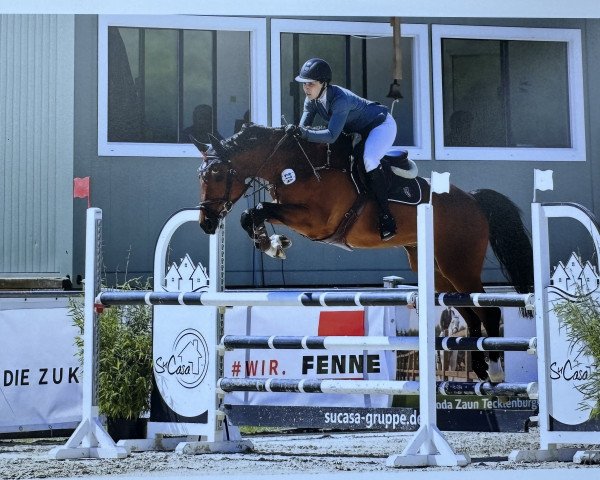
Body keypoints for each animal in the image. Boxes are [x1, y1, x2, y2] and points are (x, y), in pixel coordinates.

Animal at [193, 123, 536, 382]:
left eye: (217, 174)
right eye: (201, 176)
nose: (206, 223)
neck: (297, 165)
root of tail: (474, 200)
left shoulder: (315, 221)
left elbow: (257, 210)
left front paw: (272, 244)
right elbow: (251, 215)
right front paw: (272, 244)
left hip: (459, 266)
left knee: (488, 311)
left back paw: (494, 369)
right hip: (438, 270)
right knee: (467, 311)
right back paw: (478, 367)